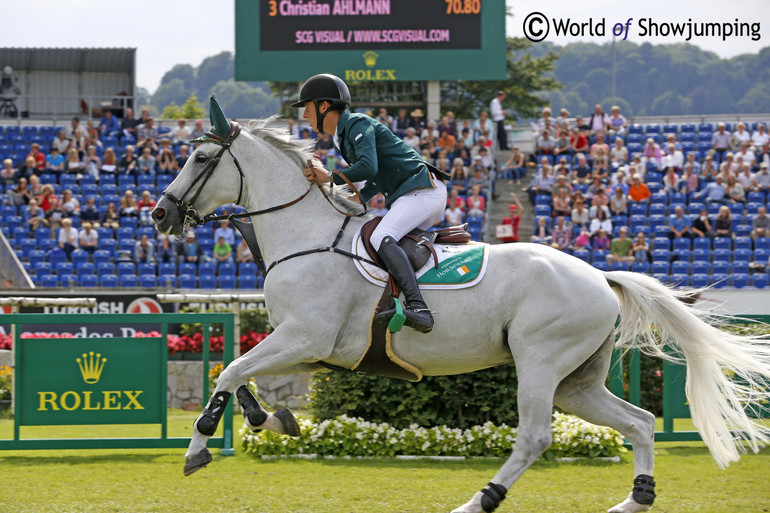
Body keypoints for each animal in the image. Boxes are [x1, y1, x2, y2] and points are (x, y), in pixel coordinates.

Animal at [152, 98, 768, 510]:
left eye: (201, 158)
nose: (159, 215)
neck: (307, 234)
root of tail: (599, 275)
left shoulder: (307, 337)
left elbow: (230, 369)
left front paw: (198, 447)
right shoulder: (307, 346)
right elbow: (238, 372)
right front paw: (271, 418)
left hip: (540, 361)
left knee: (535, 436)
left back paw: (482, 498)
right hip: (577, 381)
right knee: (638, 422)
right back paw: (635, 498)